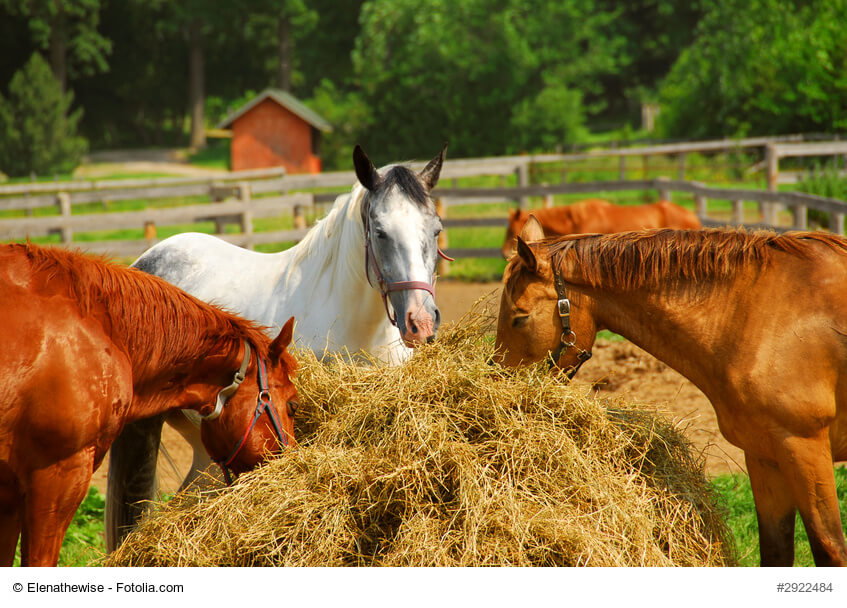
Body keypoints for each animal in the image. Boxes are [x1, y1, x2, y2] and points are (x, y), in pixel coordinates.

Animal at [494, 217, 847, 567]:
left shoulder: (804, 448)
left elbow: (830, 549)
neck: (756, 312)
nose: (501, 382)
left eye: (519, 318)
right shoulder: (764, 456)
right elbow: (775, 551)